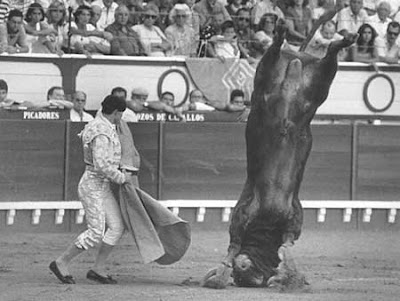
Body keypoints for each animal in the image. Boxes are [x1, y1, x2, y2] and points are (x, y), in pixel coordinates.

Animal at [203, 6, 356, 288]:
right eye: (247, 274)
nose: (243, 267)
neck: (266, 226)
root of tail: (295, 56)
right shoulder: (255, 219)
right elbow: (243, 246)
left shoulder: (284, 219)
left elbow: (269, 244)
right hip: (311, 84)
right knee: (322, 58)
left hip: (292, 79)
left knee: (291, 56)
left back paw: (291, 34)